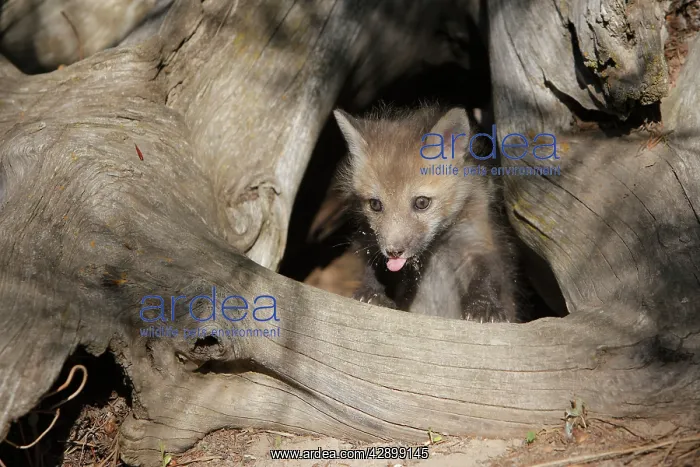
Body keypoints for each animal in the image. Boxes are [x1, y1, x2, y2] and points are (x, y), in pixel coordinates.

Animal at [333, 104, 518, 322]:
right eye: (375, 204)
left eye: (421, 202)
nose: (393, 251)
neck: (434, 251)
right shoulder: (369, 242)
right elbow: (372, 269)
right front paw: (372, 293)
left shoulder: (478, 239)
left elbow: (486, 274)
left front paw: (484, 306)